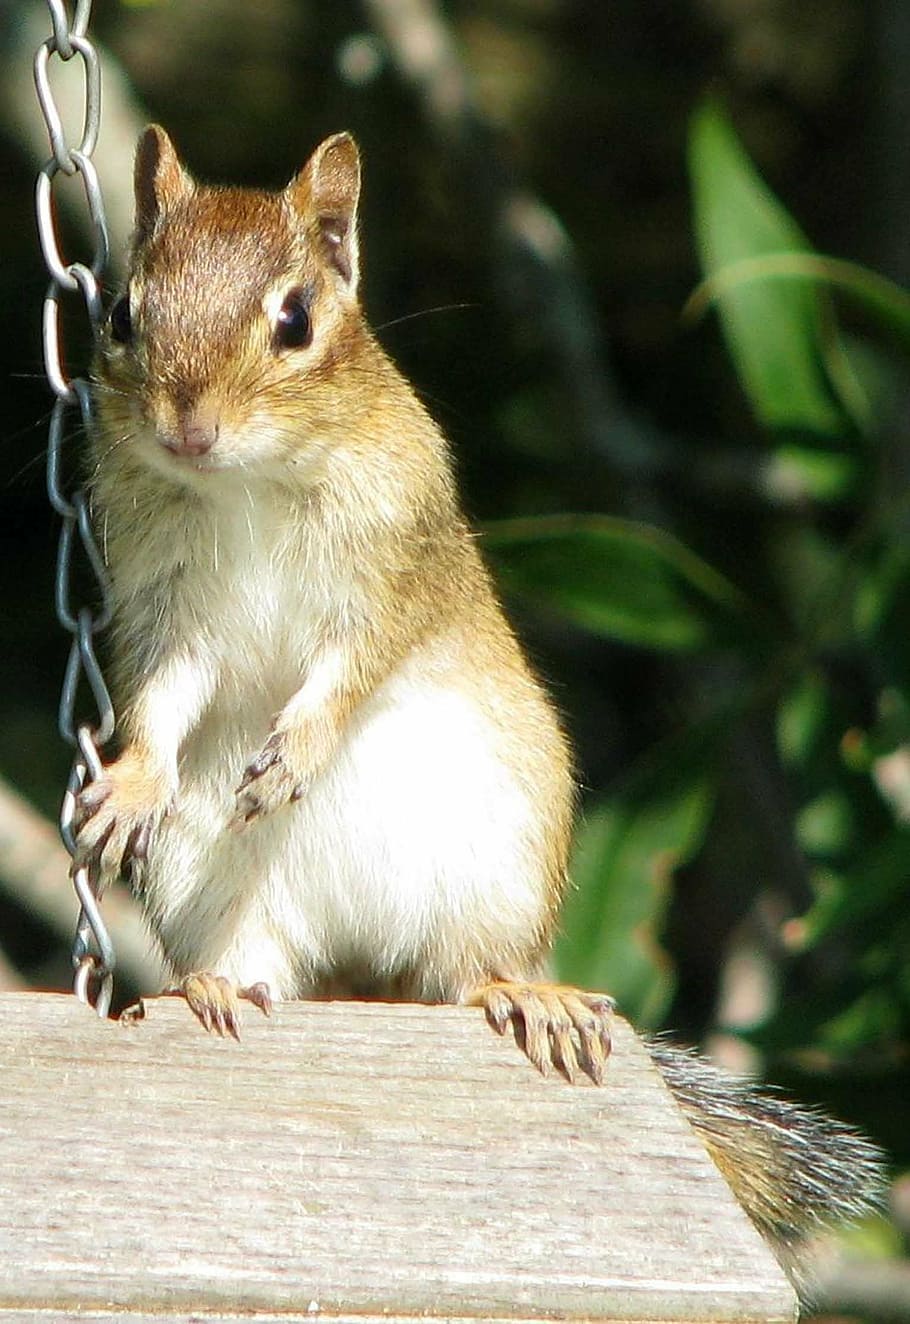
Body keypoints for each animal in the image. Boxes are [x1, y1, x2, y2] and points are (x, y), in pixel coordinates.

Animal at [75, 125, 885, 1297]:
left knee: (466, 974)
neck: (243, 488)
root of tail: (363, 972)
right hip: (208, 884)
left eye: (296, 319)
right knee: (259, 959)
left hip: (495, 858)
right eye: (123, 315)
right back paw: (215, 990)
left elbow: (351, 669)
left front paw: (298, 749)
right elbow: (164, 702)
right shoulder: (167, 609)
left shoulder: (392, 568)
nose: (187, 425)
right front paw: (130, 785)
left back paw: (525, 998)